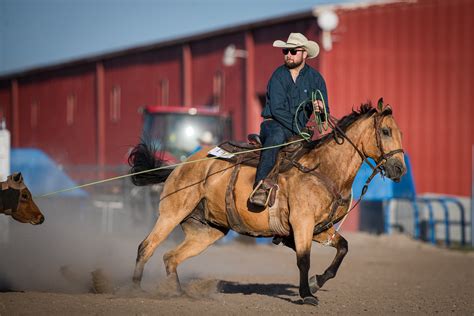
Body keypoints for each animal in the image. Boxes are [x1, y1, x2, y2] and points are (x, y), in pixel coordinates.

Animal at [128, 101, 406, 304]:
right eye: (385, 131)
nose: (399, 169)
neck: (324, 169)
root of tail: (180, 165)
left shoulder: (320, 229)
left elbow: (343, 248)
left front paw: (316, 282)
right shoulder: (302, 223)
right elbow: (303, 259)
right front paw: (307, 295)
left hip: (206, 231)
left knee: (170, 257)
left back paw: (177, 293)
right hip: (171, 213)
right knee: (146, 247)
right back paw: (135, 290)